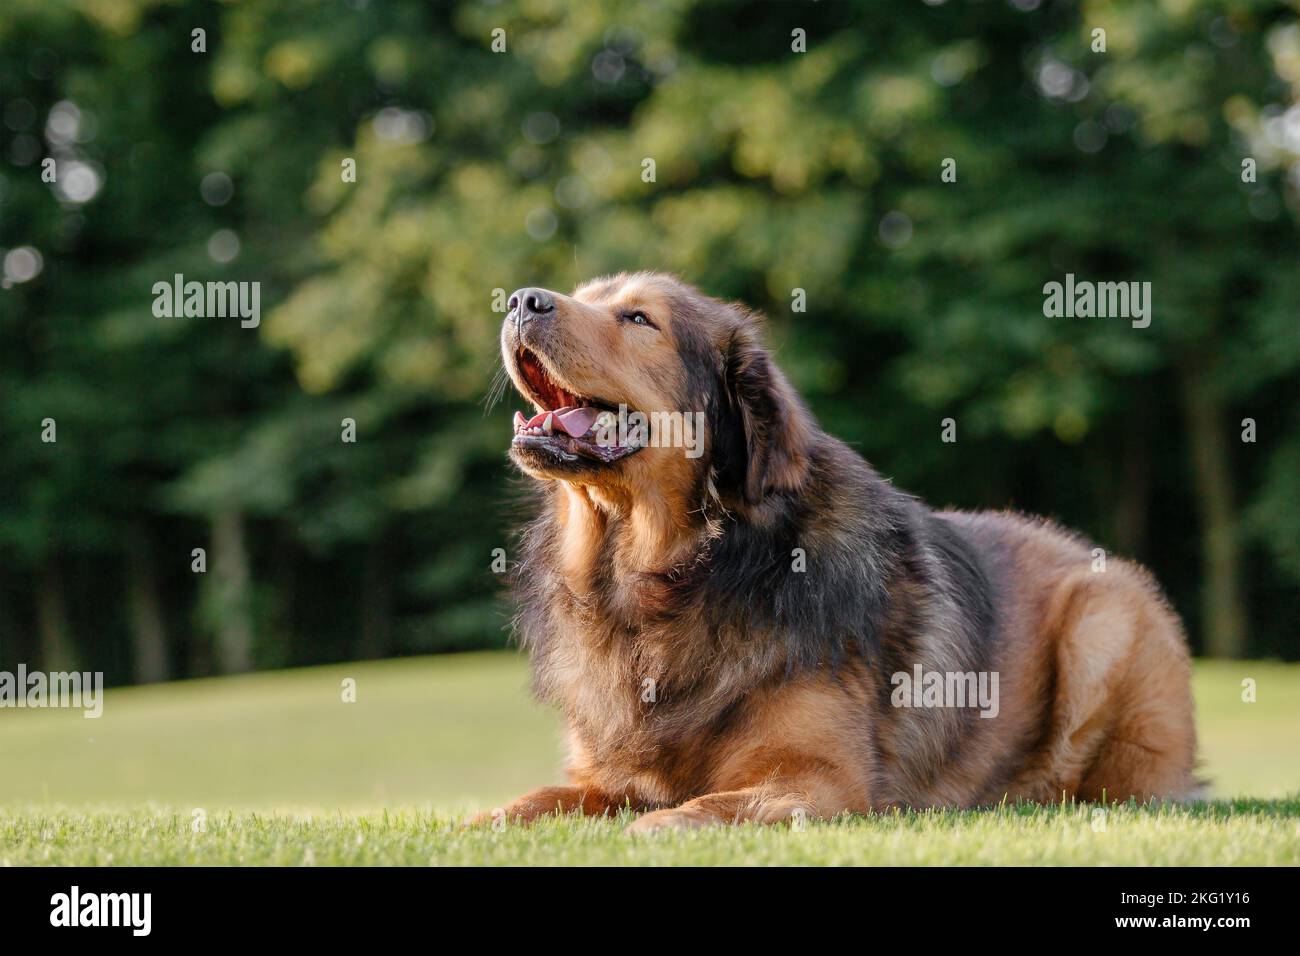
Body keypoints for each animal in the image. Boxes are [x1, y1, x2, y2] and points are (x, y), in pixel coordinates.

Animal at [488, 270, 1196, 832]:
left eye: (638, 319)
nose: (521, 299)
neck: (673, 572)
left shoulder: (820, 779)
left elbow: (703, 807)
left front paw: (654, 829)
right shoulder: (602, 776)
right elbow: (531, 801)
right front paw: (487, 822)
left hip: (1101, 617)